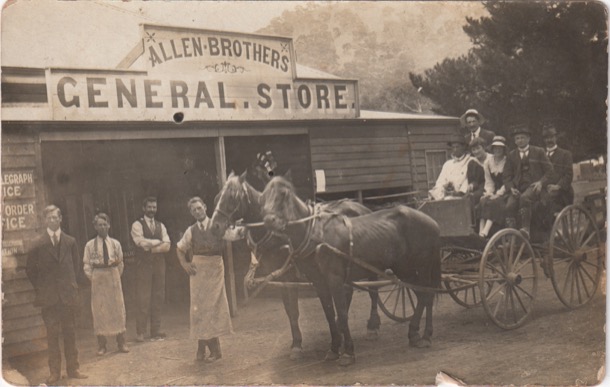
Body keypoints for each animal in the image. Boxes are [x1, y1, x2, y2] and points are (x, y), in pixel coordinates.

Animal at [210, 171, 380, 362]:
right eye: (217, 196)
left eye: (232, 197)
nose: (214, 226)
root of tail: (362, 207)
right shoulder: (280, 277)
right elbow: (289, 311)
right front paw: (296, 343)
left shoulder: (289, 275)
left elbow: (294, 310)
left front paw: (298, 345)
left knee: (373, 291)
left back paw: (373, 326)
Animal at [258, 176, 440, 366]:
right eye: (262, 198)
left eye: (283, 194)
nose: (269, 221)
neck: (317, 234)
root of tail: (432, 222)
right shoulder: (319, 282)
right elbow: (329, 314)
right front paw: (333, 349)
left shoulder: (335, 279)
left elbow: (342, 313)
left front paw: (348, 352)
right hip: (406, 271)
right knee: (424, 296)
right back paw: (418, 334)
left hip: (419, 268)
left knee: (426, 295)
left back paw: (422, 335)